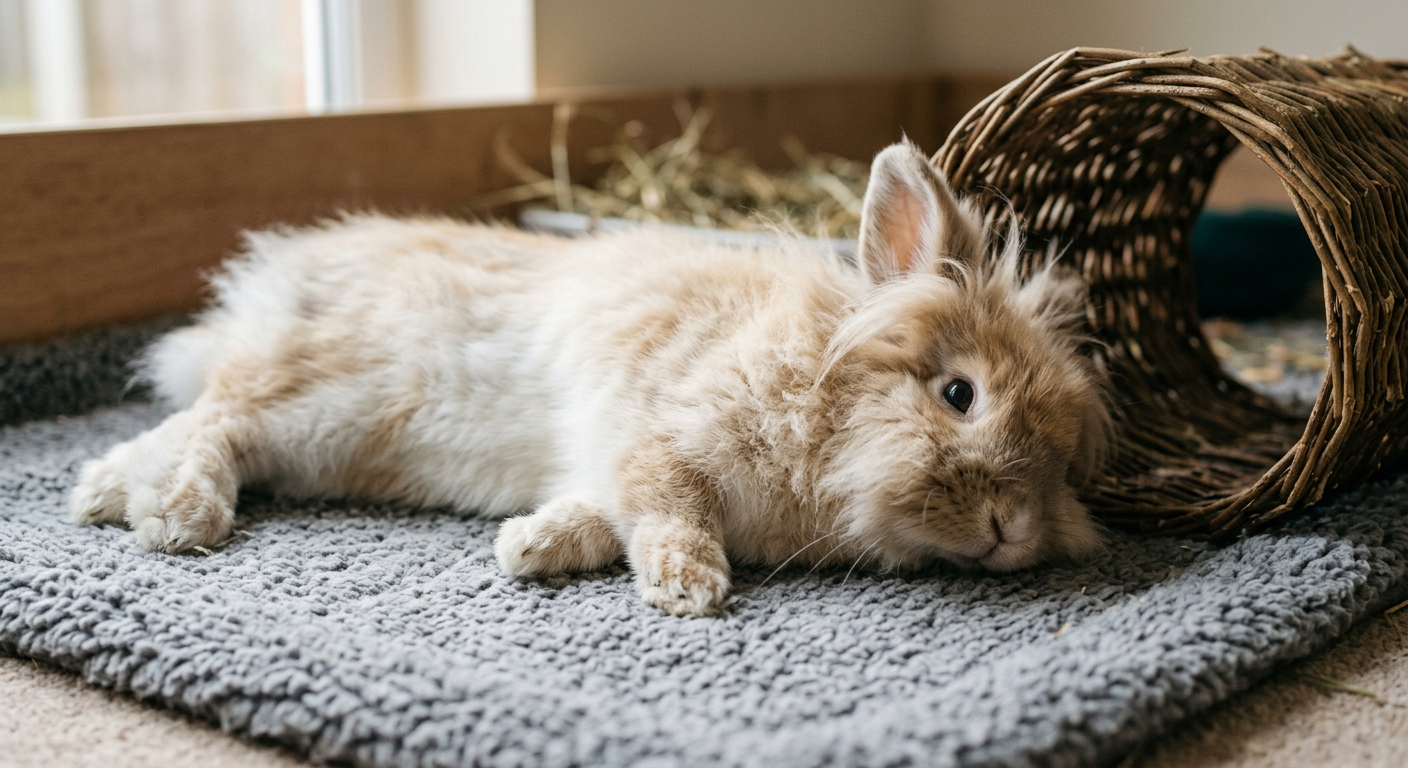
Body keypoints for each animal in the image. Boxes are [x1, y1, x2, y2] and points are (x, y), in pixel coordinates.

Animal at [70, 140, 1112, 617]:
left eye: (1066, 466)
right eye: (959, 395)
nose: (1012, 529)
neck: (824, 396)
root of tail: (275, 284)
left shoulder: (616, 462)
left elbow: (602, 511)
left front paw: (526, 547)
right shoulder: (663, 438)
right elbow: (668, 506)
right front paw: (689, 589)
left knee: (198, 419)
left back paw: (106, 495)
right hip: (325, 396)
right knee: (216, 421)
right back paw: (170, 514)